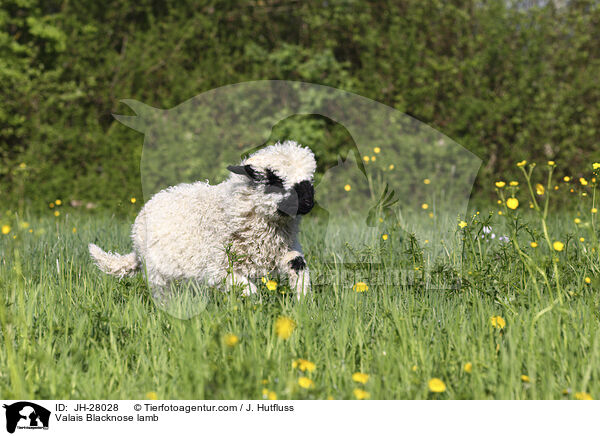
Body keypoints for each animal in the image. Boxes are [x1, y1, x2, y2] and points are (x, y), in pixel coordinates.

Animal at [88, 141, 316, 300]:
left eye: (310, 178)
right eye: (274, 179)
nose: (308, 202)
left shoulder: (287, 248)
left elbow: (298, 267)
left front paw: (302, 302)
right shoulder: (217, 266)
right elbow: (249, 291)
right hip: (157, 274)